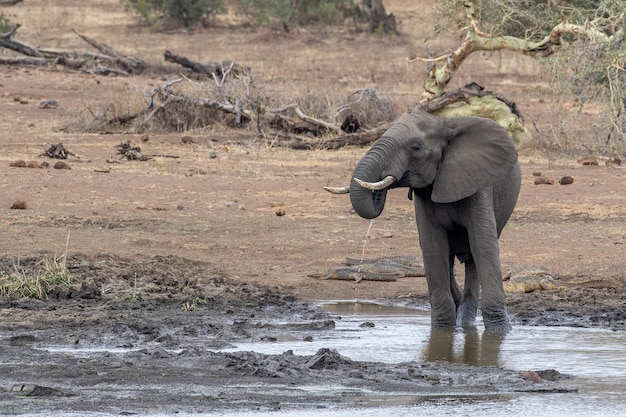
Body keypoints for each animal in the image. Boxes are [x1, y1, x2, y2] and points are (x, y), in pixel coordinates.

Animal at [324, 109, 520, 332]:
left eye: (415, 148)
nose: (384, 178)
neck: (443, 124)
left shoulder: (478, 183)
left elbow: (483, 246)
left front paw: (499, 333)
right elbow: (433, 248)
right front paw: (442, 330)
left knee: (472, 258)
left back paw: (466, 323)